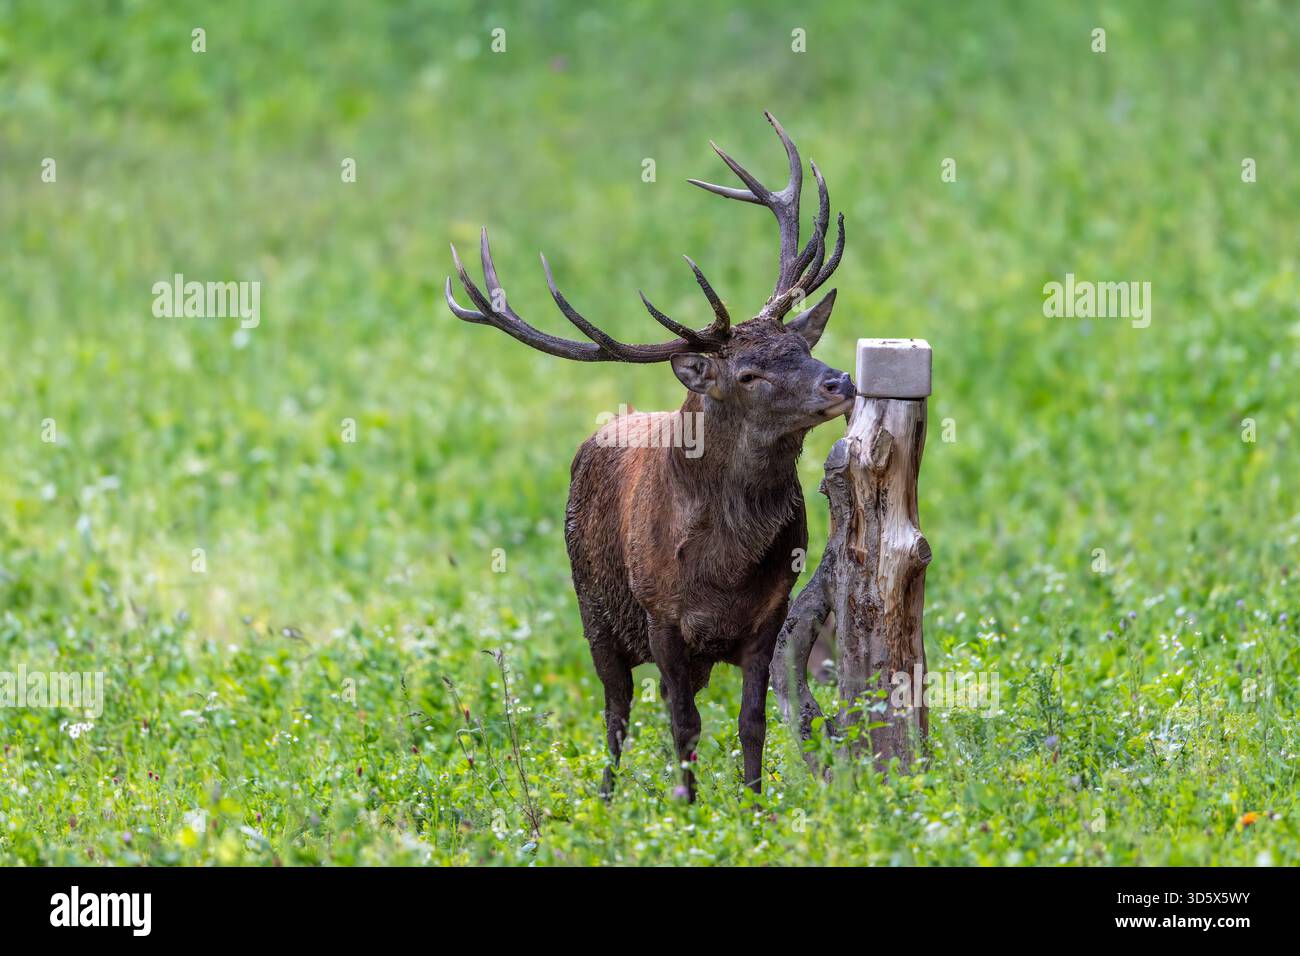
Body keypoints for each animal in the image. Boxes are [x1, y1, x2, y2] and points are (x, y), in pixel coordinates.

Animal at [446, 112, 852, 801]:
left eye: (800, 344)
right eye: (747, 374)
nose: (841, 382)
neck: (725, 569)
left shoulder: (771, 614)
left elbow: (752, 721)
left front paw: (753, 808)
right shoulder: (661, 614)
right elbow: (684, 725)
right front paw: (687, 812)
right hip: (595, 613)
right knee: (618, 711)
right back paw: (608, 801)